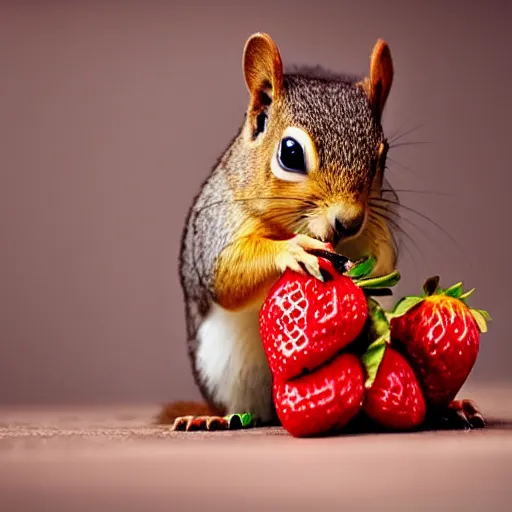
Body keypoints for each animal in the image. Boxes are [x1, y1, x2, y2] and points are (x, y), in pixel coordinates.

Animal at [156, 33, 484, 432]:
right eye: (290, 152)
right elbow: (228, 274)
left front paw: (369, 264)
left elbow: (384, 256)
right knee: (245, 411)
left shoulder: (382, 221)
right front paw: (293, 251)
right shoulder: (220, 226)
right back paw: (214, 419)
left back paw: (450, 408)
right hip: (225, 374)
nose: (348, 221)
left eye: (382, 156)